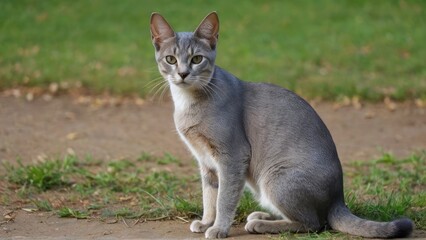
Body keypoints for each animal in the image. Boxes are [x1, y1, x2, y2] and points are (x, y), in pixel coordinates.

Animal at [149, 11, 412, 240]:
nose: (183, 73)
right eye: (171, 59)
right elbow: (209, 196)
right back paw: (262, 216)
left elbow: (224, 198)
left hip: (275, 177)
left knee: (313, 223)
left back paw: (260, 224)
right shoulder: (206, 162)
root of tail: (339, 199)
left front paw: (219, 228)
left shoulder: (232, 156)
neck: (188, 103)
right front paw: (206, 222)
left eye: (197, 59)